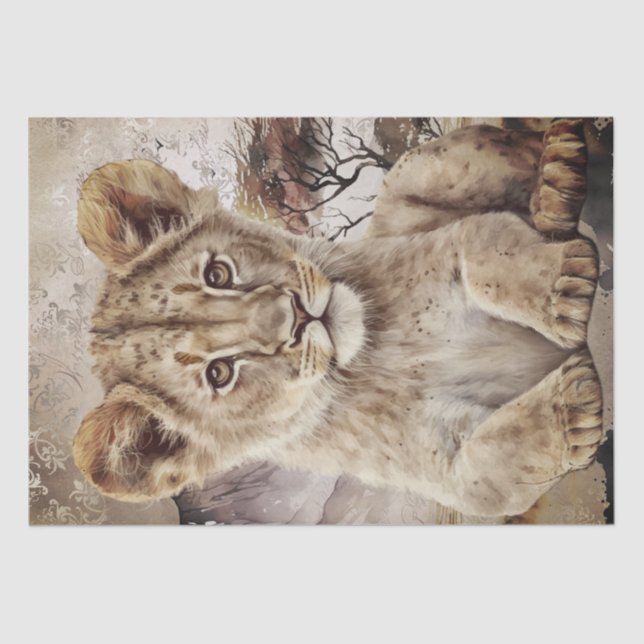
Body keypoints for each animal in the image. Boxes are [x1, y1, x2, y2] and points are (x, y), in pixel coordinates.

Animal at [73, 119, 603, 517]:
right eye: (218, 374)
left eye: (218, 273)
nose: (295, 317)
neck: (382, 345)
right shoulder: (443, 466)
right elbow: (488, 474)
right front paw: (575, 412)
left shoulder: (417, 228)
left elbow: (438, 183)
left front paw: (557, 184)